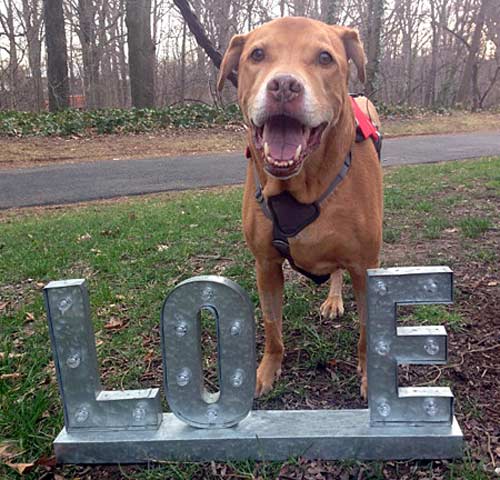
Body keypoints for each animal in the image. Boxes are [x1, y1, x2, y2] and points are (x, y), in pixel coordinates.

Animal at [216, 16, 382, 398]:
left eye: (325, 58)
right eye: (257, 54)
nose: (284, 86)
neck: (301, 186)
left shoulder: (365, 265)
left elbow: (368, 332)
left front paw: (371, 376)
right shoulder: (265, 264)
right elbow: (271, 323)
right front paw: (267, 370)